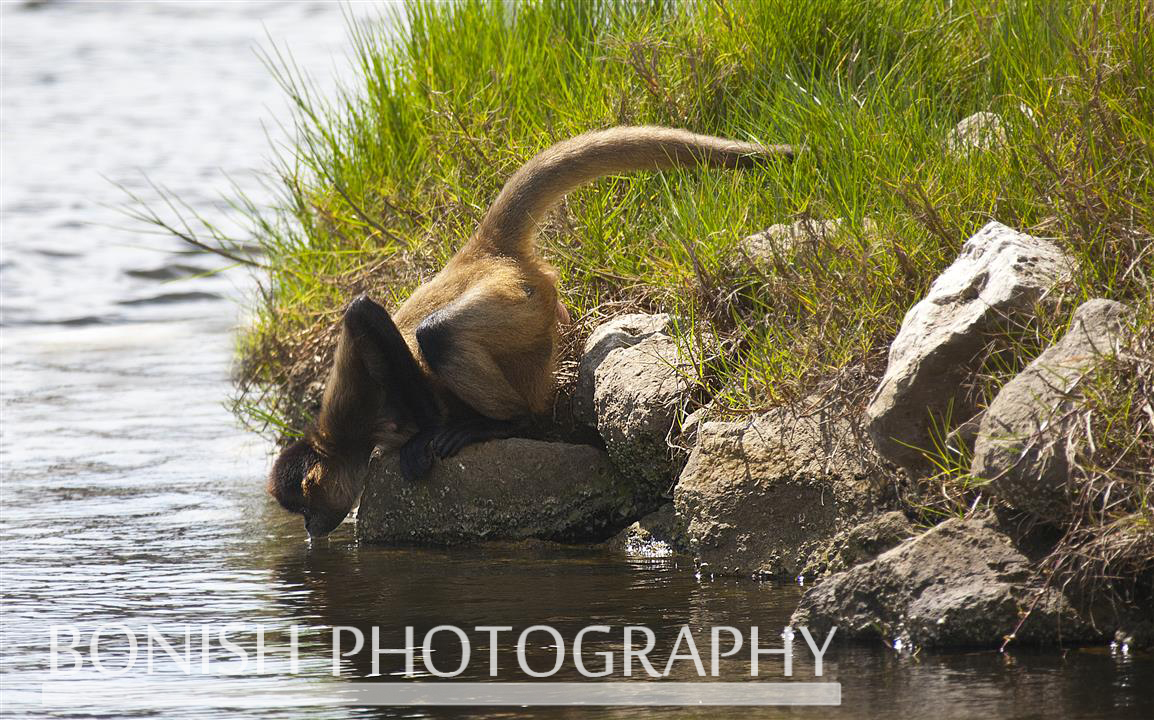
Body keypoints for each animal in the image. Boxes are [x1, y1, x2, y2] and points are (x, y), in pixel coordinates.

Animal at [268, 125, 793, 535]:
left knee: (439, 335)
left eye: (305, 507)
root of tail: (481, 254)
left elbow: (364, 312)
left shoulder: (350, 397)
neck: (344, 438)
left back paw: (503, 422)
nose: (310, 530)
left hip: (520, 302)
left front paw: (426, 434)